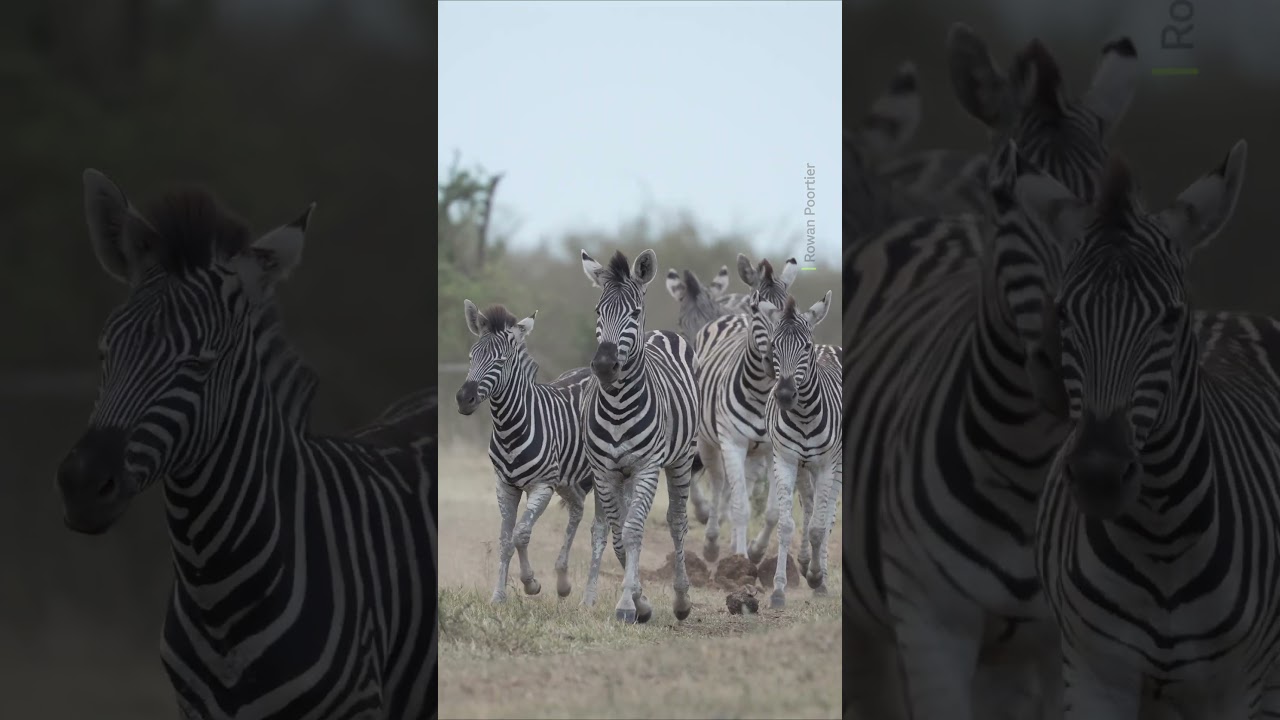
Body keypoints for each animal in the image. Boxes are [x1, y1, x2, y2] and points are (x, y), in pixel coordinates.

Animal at [454, 300, 609, 607]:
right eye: (471, 357)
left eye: (500, 362)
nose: (464, 399)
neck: (510, 429)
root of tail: (589, 371)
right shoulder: (505, 486)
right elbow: (505, 539)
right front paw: (498, 597)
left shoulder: (542, 486)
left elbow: (521, 534)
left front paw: (531, 583)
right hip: (568, 479)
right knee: (576, 509)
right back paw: (563, 582)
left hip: (601, 474)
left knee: (599, 529)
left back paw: (590, 599)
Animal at [579, 248, 700, 624]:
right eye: (597, 311)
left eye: (633, 312)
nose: (605, 366)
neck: (618, 405)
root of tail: (661, 332)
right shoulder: (605, 473)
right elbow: (620, 533)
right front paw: (638, 600)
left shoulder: (647, 467)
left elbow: (633, 530)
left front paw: (627, 604)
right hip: (626, 474)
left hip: (681, 459)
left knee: (677, 521)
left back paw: (682, 600)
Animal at [756, 292, 841, 608]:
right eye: (773, 346)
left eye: (805, 347)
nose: (784, 395)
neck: (804, 414)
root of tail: (828, 345)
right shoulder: (786, 460)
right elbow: (786, 524)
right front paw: (779, 589)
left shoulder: (827, 465)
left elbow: (819, 526)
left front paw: (817, 577)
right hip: (804, 467)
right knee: (810, 504)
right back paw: (805, 562)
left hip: (835, 465)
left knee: (827, 516)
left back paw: (820, 574)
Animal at [842, 25, 1140, 720]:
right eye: (1004, 197)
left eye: (1113, 200)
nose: (1063, 359)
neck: (1027, 466)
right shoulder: (931, 627)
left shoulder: (1070, 648)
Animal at [1022, 144, 1268, 718]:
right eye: (1064, 313)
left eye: (1171, 317)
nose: (1098, 475)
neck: (1163, 539)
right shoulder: (1092, 673)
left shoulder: (1240, 687)